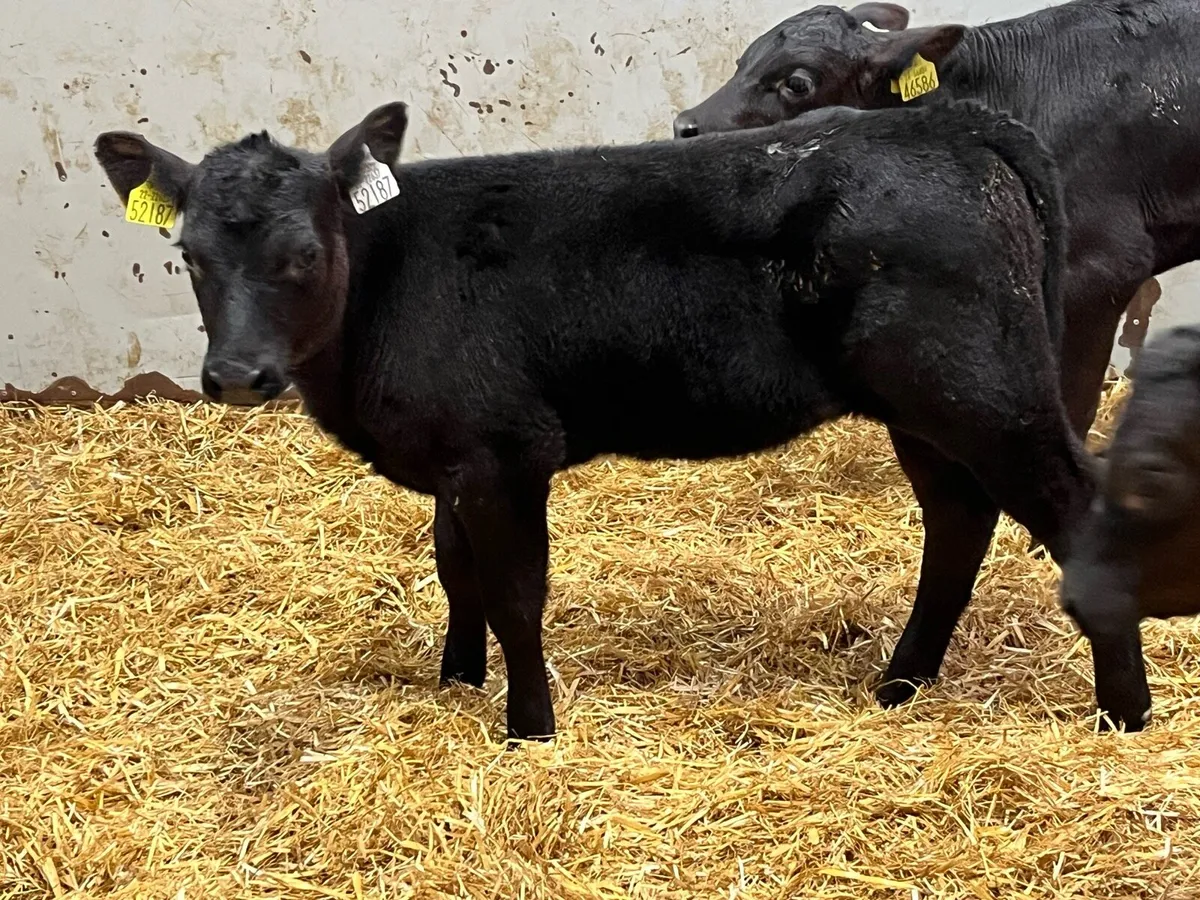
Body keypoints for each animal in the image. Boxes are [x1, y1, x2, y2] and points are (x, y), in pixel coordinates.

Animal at [94, 98, 1111, 740]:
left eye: (304, 253)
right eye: (187, 255)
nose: (236, 375)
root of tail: (939, 119)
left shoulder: (506, 452)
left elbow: (513, 591)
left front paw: (528, 729)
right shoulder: (454, 448)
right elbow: (455, 571)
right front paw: (457, 679)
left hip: (982, 389)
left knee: (1065, 509)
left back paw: (1120, 714)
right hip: (926, 406)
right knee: (959, 520)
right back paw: (902, 683)